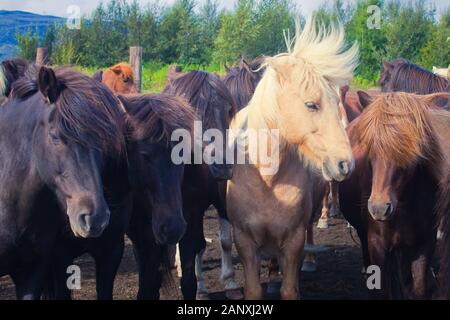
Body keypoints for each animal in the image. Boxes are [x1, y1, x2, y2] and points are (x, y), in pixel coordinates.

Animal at [227, 17, 356, 300]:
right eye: (311, 105)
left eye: (337, 104)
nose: (346, 164)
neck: (267, 177)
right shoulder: (243, 240)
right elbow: (253, 289)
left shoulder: (293, 239)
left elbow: (290, 288)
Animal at [340, 92, 448, 300]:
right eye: (370, 149)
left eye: (412, 151)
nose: (379, 208)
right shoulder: (377, 244)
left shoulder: (424, 244)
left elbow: (418, 288)